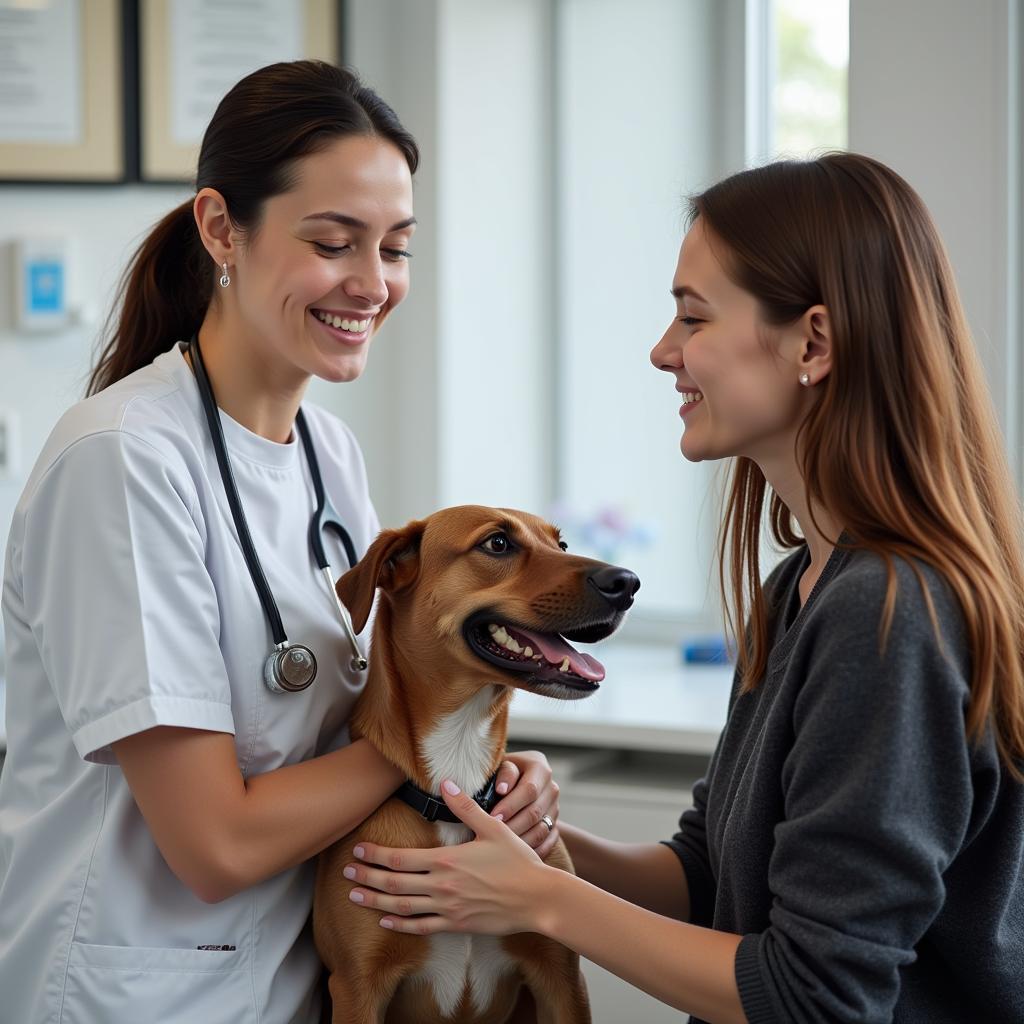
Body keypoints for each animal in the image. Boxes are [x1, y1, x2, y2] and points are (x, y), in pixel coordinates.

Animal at [311, 505, 634, 1024]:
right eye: (497, 544)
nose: (627, 582)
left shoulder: (562, 977)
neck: (454, 777)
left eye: (560, 545)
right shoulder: (357, 988)